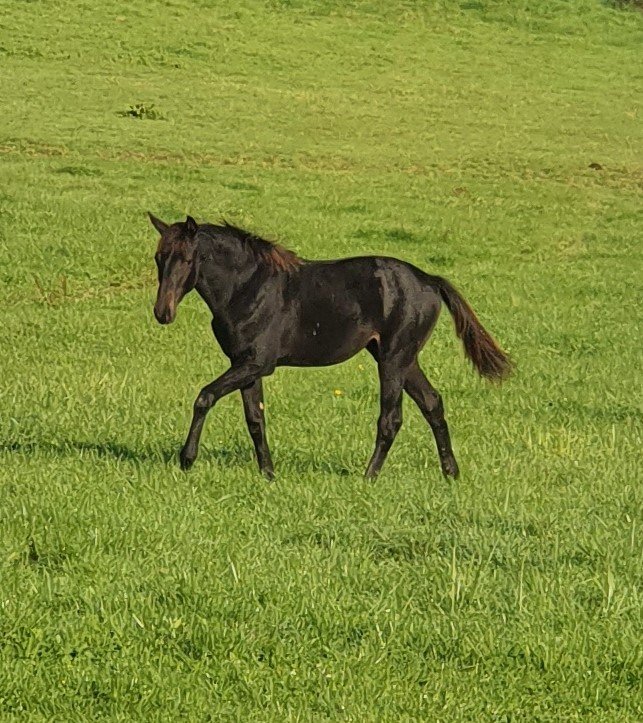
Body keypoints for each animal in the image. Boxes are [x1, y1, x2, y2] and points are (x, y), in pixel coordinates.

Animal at [148, 213, 511, 480]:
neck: (249, 288)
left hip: (393, 360)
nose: (162, 313)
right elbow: (255, 419)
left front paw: (186, 459)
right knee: (432, 403)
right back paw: (450, 473)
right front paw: (268, 473)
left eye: (187, 258)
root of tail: (430, 280)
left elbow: (205, 397)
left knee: (391, 418)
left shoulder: (256, 363)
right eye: (158, 257)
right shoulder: (246, 365)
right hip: (402, 358)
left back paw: (369, 476)